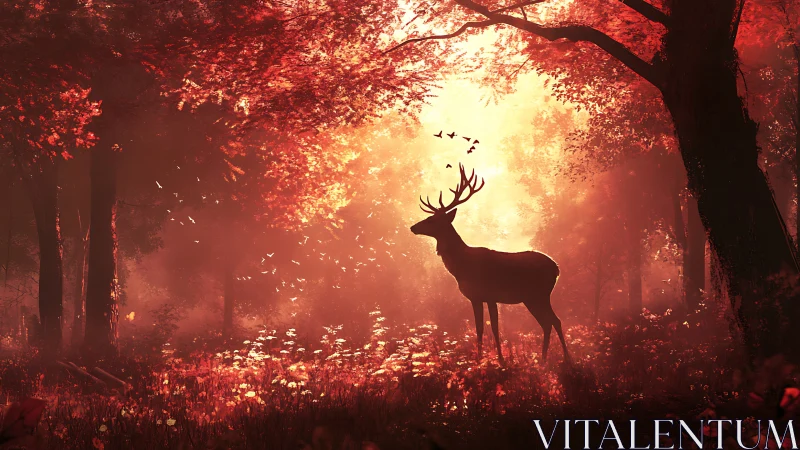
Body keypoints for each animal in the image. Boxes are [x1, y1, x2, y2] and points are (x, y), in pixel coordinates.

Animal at [410, 164, 569, 365]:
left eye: (432, 220)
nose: (413, 227)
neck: (462, 267)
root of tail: (556, 268)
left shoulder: (489, 295)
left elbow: (492, 328)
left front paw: (499, 360)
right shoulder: (477, 297)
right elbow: (480, 328)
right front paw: (481, 360)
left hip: (539, 293)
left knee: (554, 321)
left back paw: (565, 358)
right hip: (531, 297)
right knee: (548, 322)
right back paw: (543, 359)